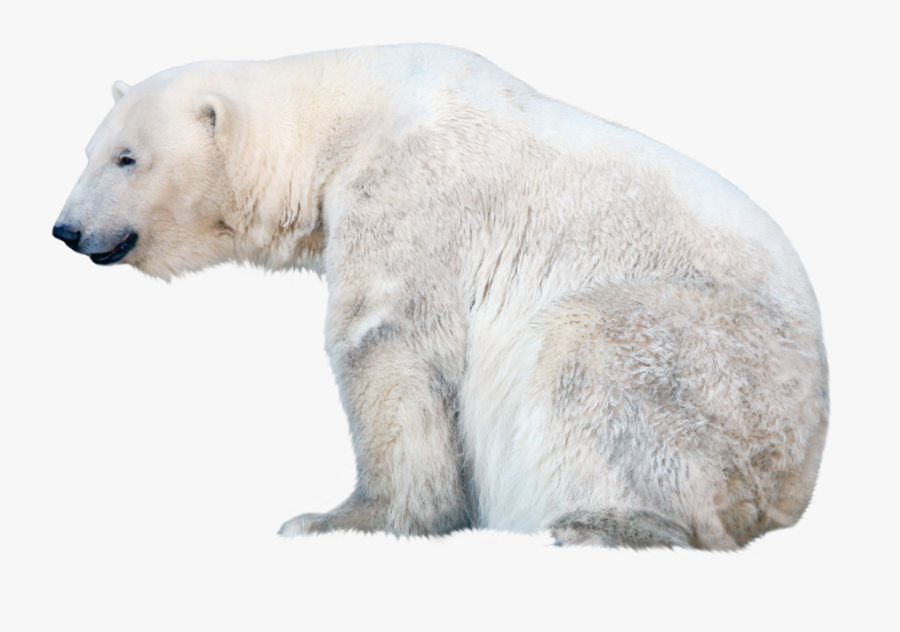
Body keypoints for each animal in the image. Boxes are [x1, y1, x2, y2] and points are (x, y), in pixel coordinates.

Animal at [53, 44, 828, 549]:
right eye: (89, 151)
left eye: (128, 157)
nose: (66, 229)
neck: (343, 116)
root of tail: (796, 487)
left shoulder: (407, 192)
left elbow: (388, 344)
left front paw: (342, 520)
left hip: (720, 371)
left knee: (591, 353)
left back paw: (600, 523)